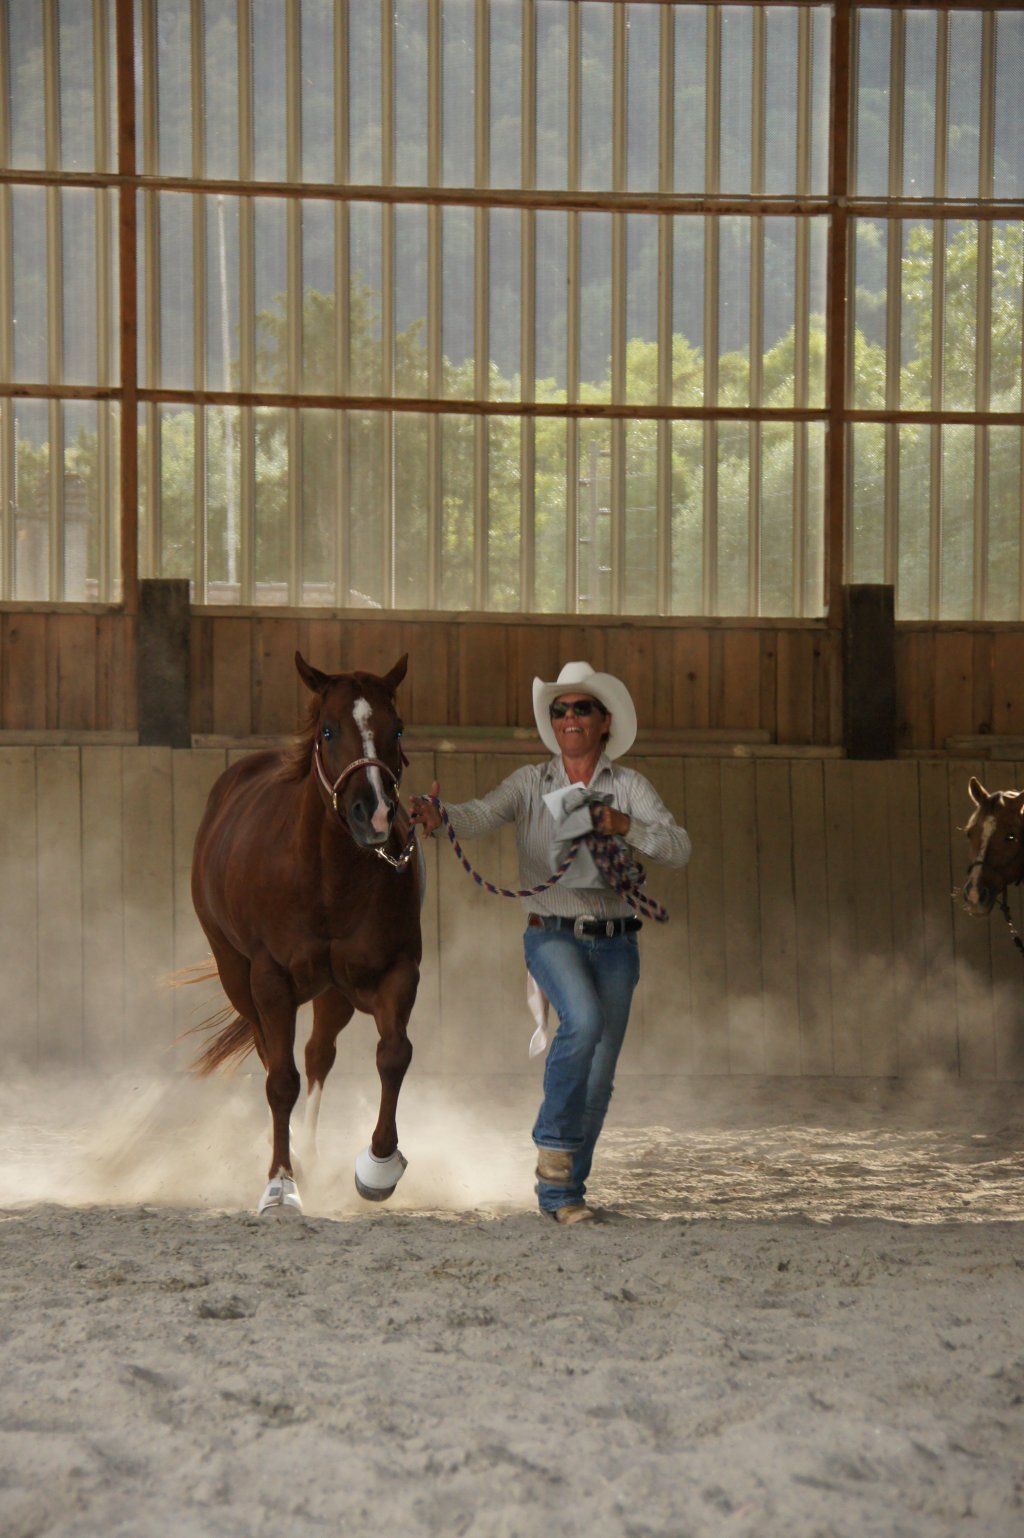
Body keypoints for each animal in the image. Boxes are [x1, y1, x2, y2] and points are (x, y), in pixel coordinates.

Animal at [189, 652, 422, 1215]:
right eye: (328, 730)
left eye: (397, 727)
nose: (374, 813)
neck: (328, 879)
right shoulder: (271, 980)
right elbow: (280, 1081)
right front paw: (280, 1184)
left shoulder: (396, 971)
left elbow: (393, 1054)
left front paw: (378, 1167)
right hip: (237, 975)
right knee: (273, 1055)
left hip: (332, 992)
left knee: (319, 1055)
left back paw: (311, 1154)